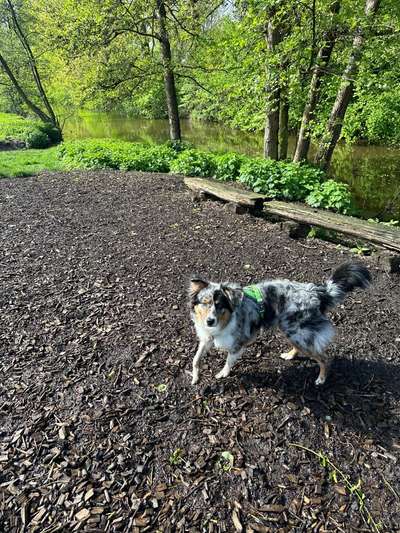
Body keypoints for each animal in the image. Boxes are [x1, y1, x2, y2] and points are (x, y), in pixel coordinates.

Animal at [189, 262, 370, 384]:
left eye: (219, 305)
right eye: (204, 303)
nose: (210, 321)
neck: (225, 321)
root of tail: (316, 291)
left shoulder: (238, 344)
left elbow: (228, 361)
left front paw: (223, 374)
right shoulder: (206, 338)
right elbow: (195, 359)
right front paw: (195, 376)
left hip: (298, 333)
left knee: (324, 358)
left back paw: (321, 379)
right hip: (290, 329)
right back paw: (290, 355)